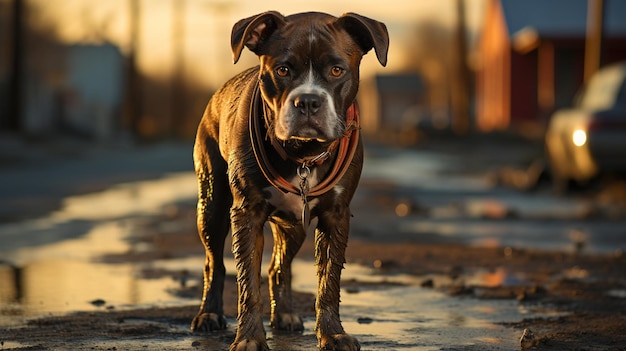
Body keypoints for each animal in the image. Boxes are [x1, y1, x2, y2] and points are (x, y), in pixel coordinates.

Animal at [189, 11, 386, 351]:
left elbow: (329, 280)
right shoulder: (247, 213)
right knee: (214, 261)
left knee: (278, 266)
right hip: (211, 203)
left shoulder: (336, 215)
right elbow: (247, 283)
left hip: (294, 225)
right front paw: (249, 338)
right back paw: (209, 314)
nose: (307, 101)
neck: (303, 154)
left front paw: (333, 334)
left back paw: (284, 315)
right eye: (283, 69)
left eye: (337, 69)